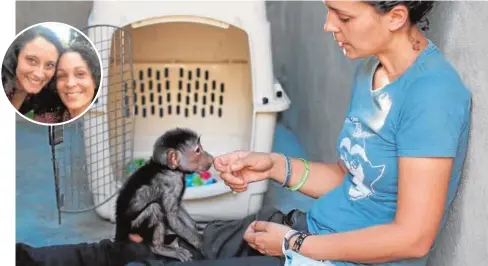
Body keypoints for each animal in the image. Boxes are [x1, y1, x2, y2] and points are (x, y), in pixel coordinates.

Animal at [115, 127, 214, 262]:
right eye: (198, 150)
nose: (211, 157)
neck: (167, 168)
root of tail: (120, 230)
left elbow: (177, 209)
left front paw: (196, 227)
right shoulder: (173, 183)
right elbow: (172, 217)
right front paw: (201, 243)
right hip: (135, 225)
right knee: (154, 208)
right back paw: (159, 248)